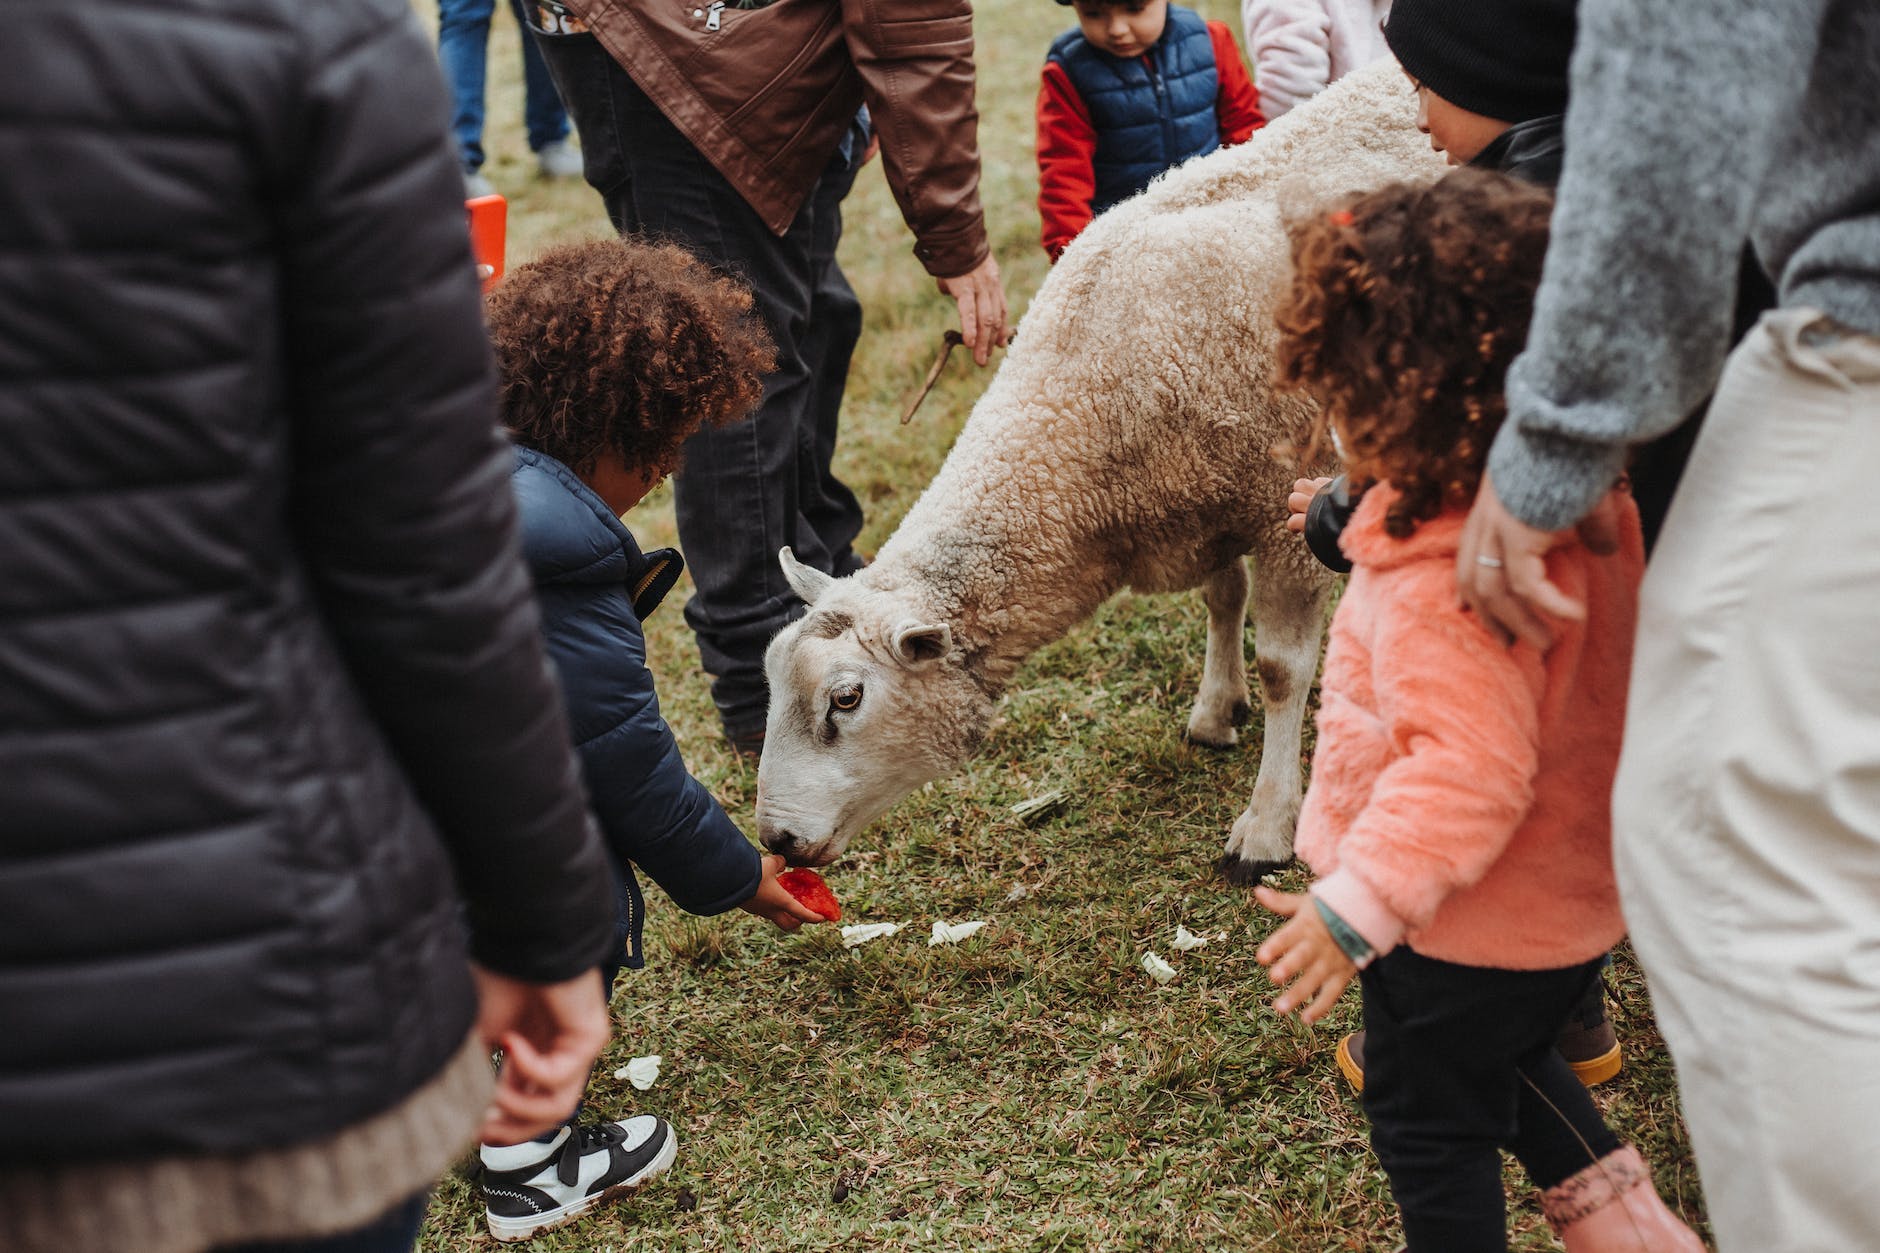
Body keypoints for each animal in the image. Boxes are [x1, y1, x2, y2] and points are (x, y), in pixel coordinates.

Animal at [755, 61, 1443, 876]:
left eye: (847, 698)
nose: (775, 839)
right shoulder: (1201, 496)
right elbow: (1222, 597)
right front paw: (1216, 708)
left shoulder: (1289, 506)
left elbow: (1282, 668)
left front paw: (1268, 824)